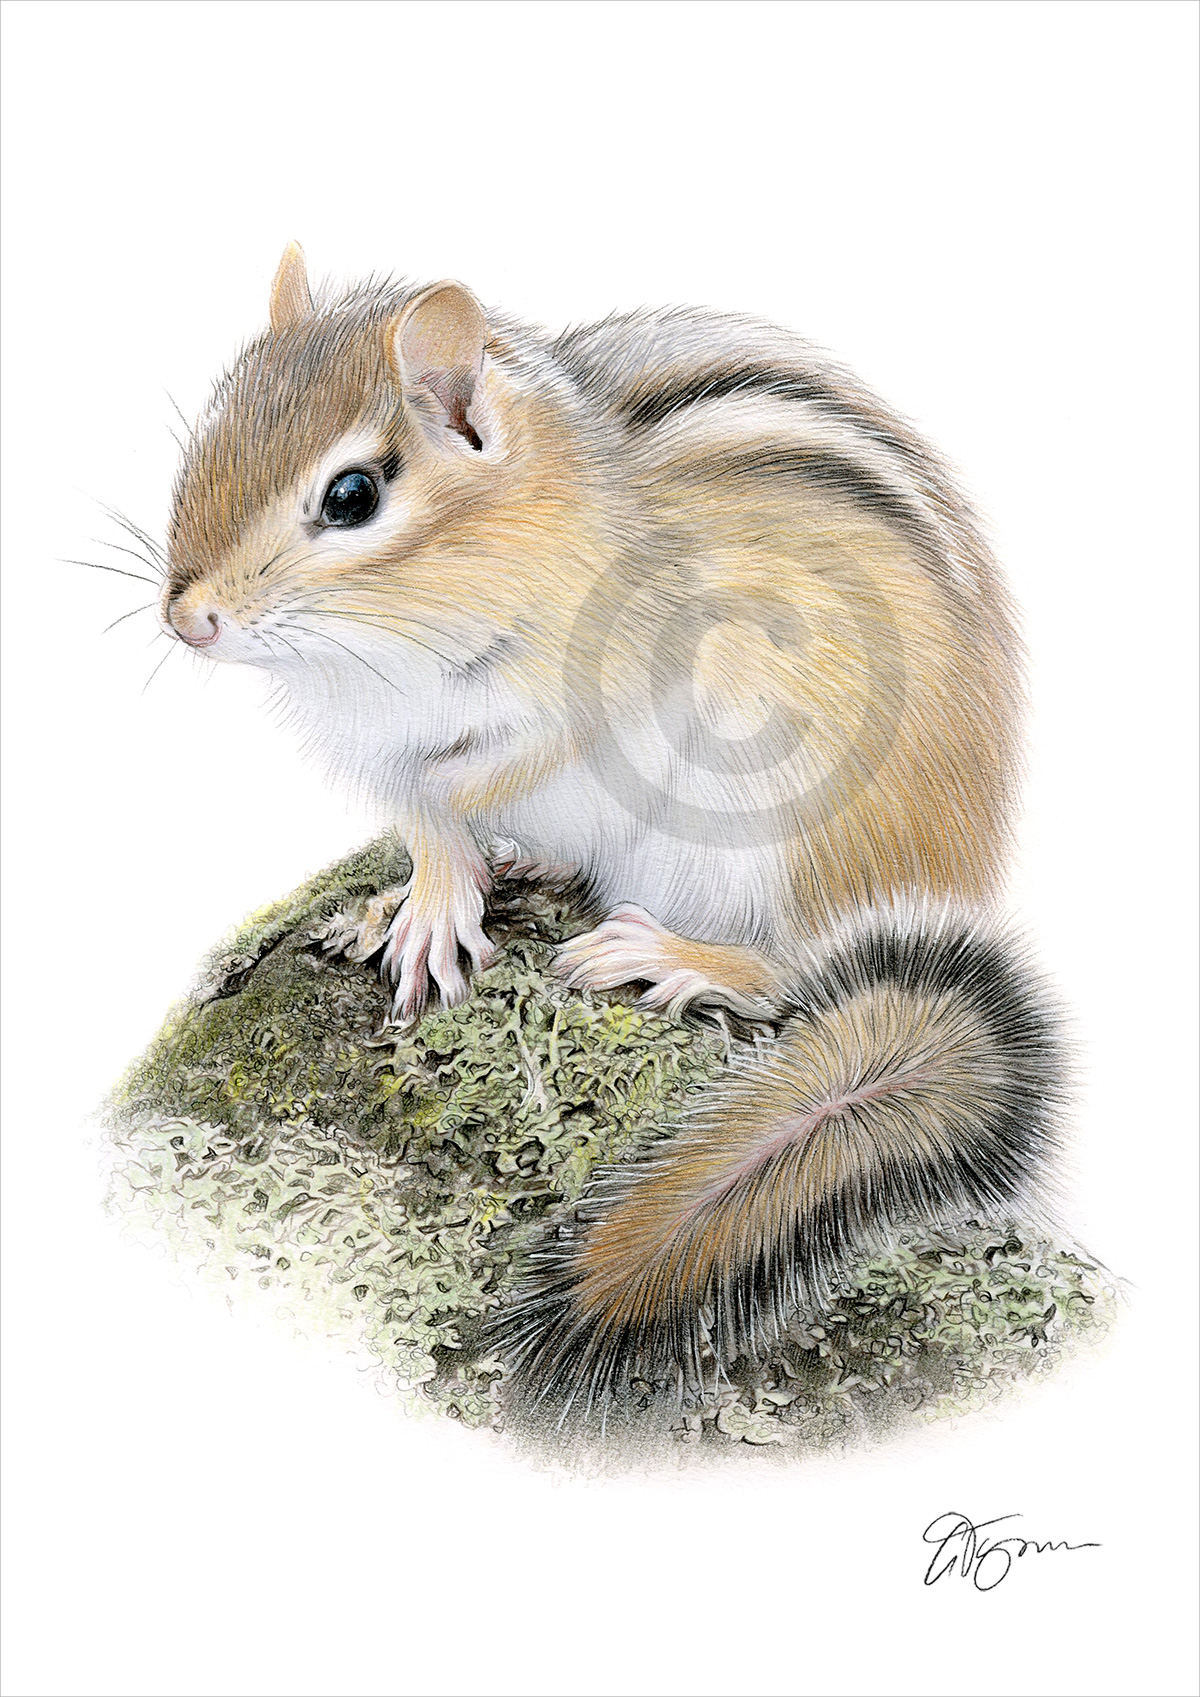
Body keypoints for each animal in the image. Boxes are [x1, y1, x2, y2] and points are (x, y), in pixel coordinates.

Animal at [162, 243, 1064, 1414]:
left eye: (352, 495)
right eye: (208, 431)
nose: (186, 619)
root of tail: (961, 876)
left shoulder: (603, 677)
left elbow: (483, 772)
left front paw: (444, 877)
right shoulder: (386, 749)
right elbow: (424, 814)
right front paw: (417, 899)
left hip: (799, 838)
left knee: (791, 963)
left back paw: (675, 955)